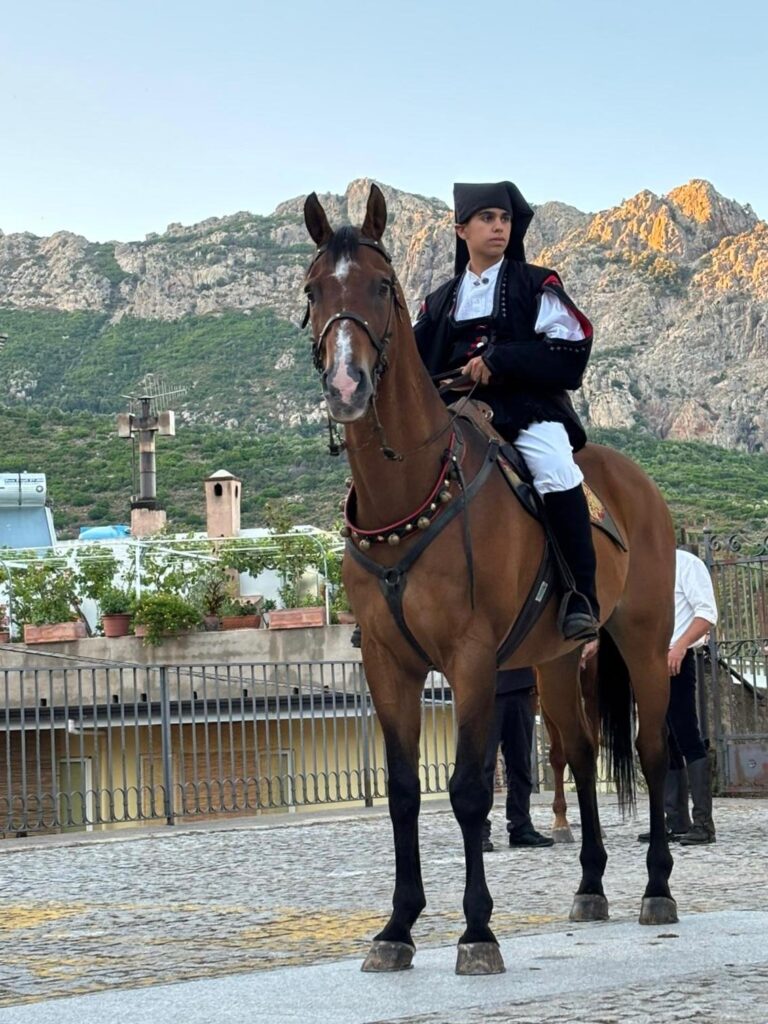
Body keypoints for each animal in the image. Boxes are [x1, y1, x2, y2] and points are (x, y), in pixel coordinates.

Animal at [302, 184, 677, 976]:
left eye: (382, 286)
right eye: (314, 289)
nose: (347, 384)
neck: (412, 490)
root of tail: (637, 482)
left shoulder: (470, 660)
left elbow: (470, 791)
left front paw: (477, 930)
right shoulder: (390, 665)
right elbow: (405, 792)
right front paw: (397, 927)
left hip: (640, 637)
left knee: (653, 751)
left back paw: (657, 887)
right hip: (558, 661)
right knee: (581, 752)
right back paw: (591, 886)